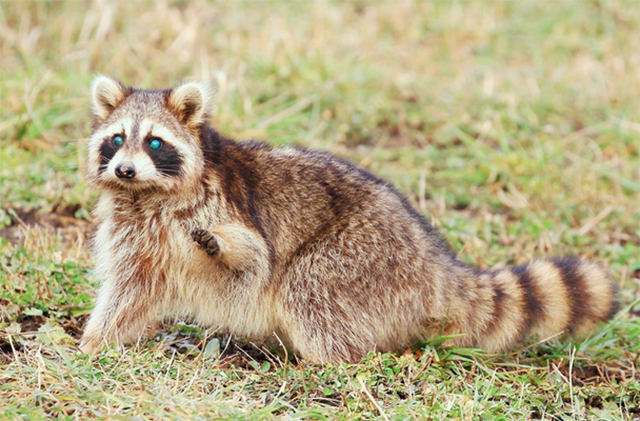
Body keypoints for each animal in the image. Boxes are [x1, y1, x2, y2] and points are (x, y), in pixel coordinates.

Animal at [77, 75, 616, 360]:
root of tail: (435, 264)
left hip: (362, 257)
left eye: (154, 142)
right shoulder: (135, 233)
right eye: (117, 139)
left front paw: (223, 248)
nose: (124, 169)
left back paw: (327, 361)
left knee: (308, 288)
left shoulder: (221, 206)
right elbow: (130, 290)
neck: (147, 194)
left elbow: (253, 259)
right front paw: (96, 341)